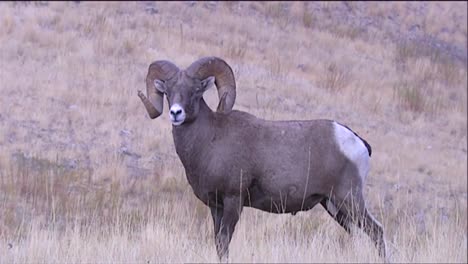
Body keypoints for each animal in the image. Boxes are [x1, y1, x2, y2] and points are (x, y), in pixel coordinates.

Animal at [138, 56, 388, 260]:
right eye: (168, 91)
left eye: (196, 90)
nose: (176, 113)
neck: (209, 140)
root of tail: (357, 141)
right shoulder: (215, 207)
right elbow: (217, 243)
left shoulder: (233, 201)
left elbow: (224, 242)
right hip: (334, 206)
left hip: (350, 200)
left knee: (376, 232)